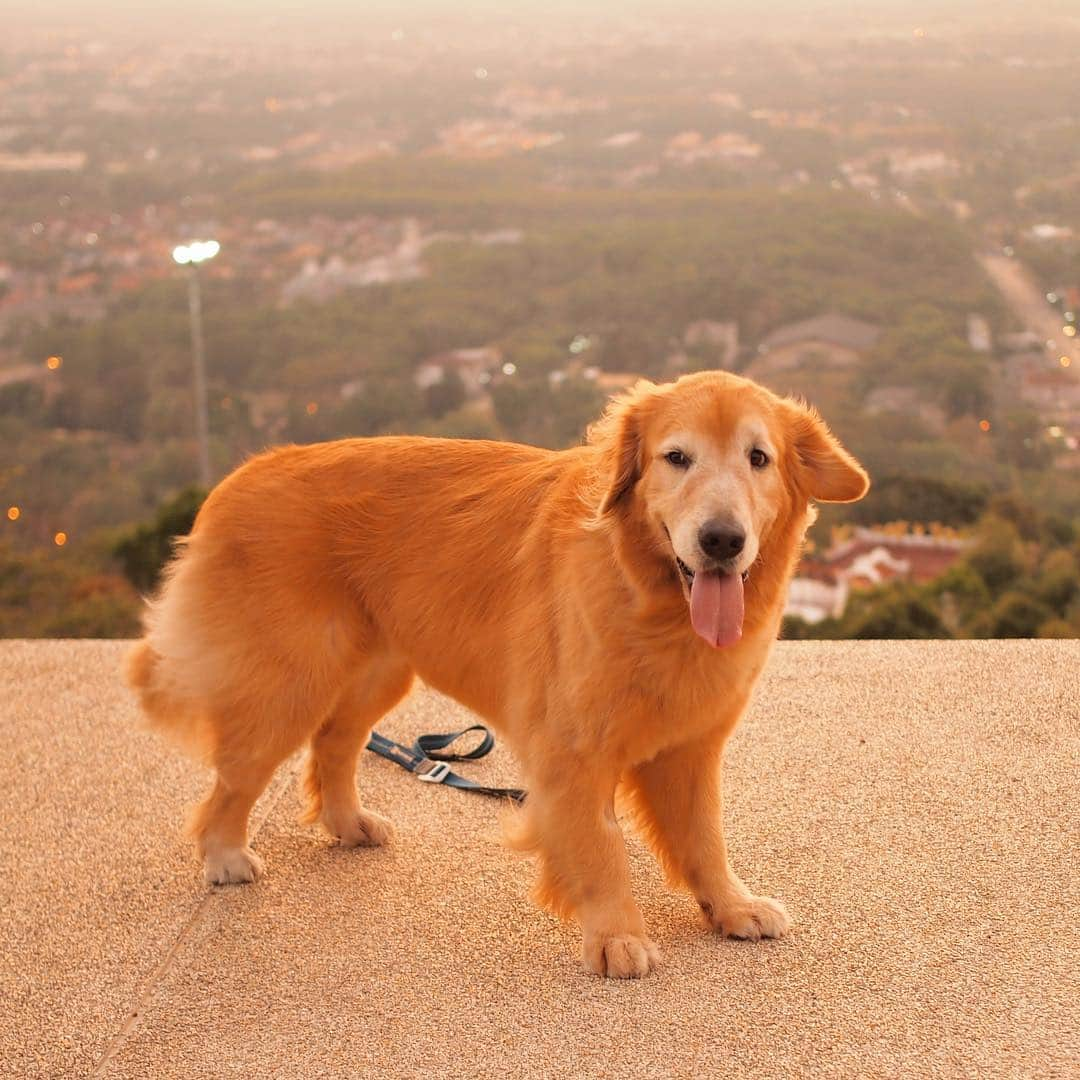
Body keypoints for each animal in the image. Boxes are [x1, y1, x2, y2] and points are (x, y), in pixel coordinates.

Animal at [126, 371, 868, 980]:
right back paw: (226, 855)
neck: (651, 601)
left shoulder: (691, 747)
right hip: (289, 683)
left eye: (758, 458)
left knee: (332, 745)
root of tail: (239, 478)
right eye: (676, 457)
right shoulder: (572, 751)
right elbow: (601, 846)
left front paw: (731, 907)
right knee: (234, 778)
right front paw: (615, 937)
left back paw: (348, 823)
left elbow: (705, 838)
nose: (721, 540)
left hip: (377, 675)